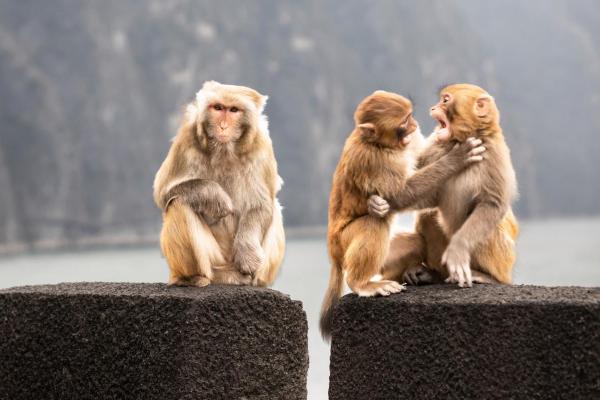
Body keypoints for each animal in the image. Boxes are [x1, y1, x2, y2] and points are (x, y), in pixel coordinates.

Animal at [154, 80, 288, 288]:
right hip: (214, 260)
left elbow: (262, 204)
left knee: (275, 209)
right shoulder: (187, 137)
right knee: (178, 203)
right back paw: (195, 277)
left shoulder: (261, 143)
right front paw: (216, 197)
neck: (225, 148)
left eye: (233, 110)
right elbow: (163, 191)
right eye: (218, 108)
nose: (223, 126)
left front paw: (247, 256)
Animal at [318, 90, 488, 338]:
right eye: (404, 123)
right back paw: (362, 283)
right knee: (374, 224)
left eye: (410, 117)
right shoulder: (372, 160)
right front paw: (456, 158)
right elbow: (402, 194)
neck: (379, 144)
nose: (415, 125)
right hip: (343, 242)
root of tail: (333, 254)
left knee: (411, 242)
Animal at [368, 83, 516, 288]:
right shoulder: (435, 146)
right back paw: (433, 274)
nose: (433, 107)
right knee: (428, 216)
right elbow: (425, 197)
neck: (461, 139)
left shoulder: (495, 153)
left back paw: (488, 277)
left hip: (504, 262)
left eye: (445, 100)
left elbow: (492, 204)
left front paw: (458, 250)